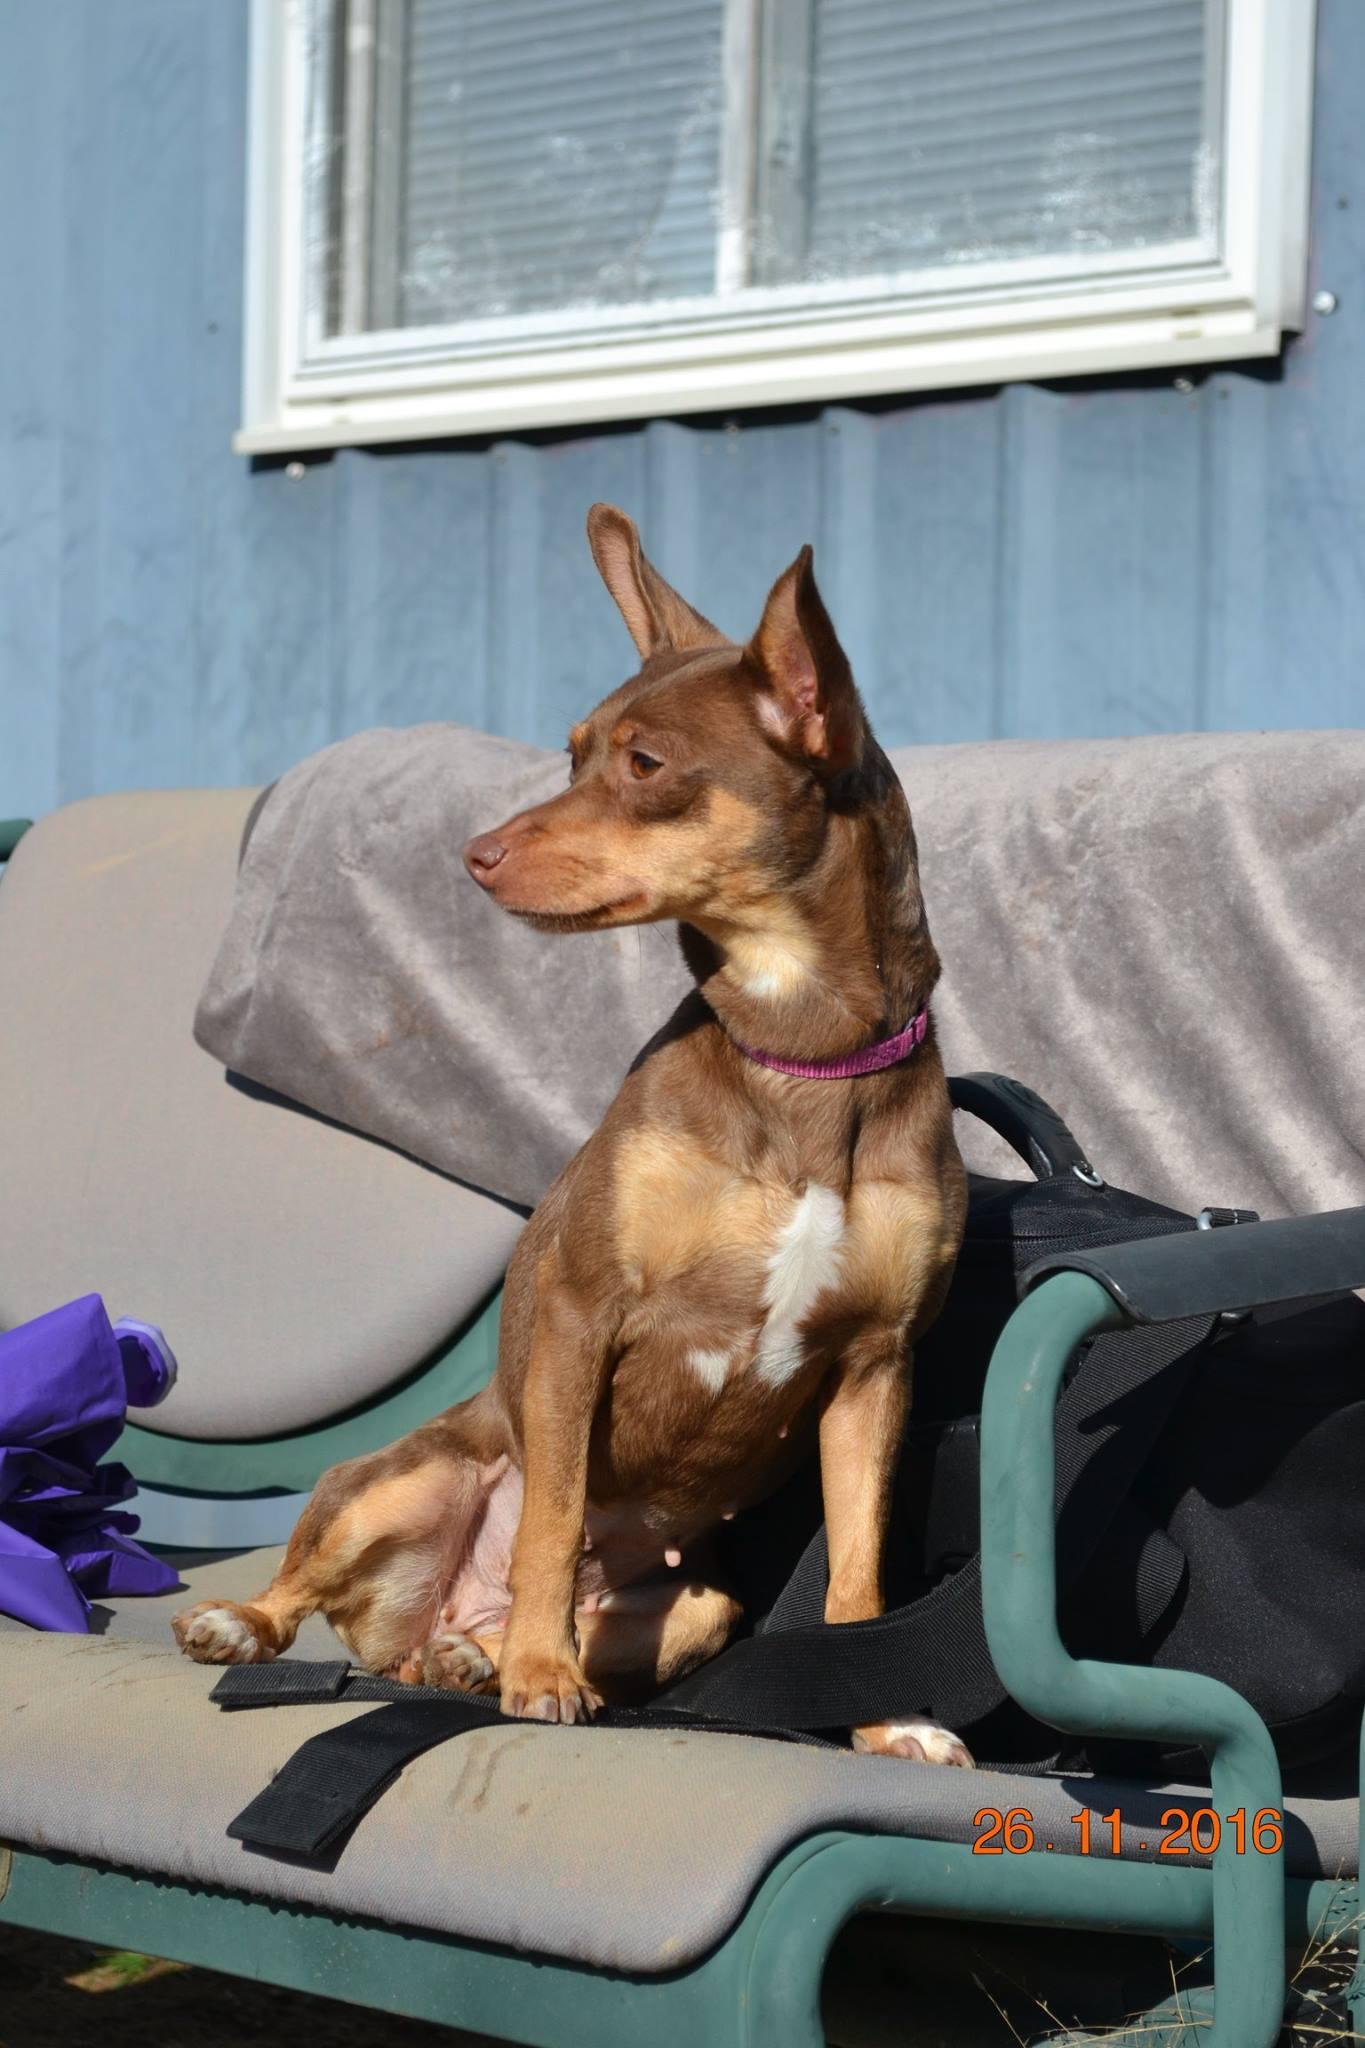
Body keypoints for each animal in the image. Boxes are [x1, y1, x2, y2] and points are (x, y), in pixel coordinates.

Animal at [173, 507, 970, 1761]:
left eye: (644, 765)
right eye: (571, 752)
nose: (475, 855)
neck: (794, 1051)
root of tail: (423, 1619)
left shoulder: (875, 1365)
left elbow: (859, 1572)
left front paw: (888, 1721)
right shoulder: (581, 1314)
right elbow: (551, 1518)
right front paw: (544, 1672)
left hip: (703, 1602)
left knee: (474, 1637)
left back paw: (473, 1654)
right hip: (393, 1477)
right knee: (307, 1582)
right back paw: (267, 1625)